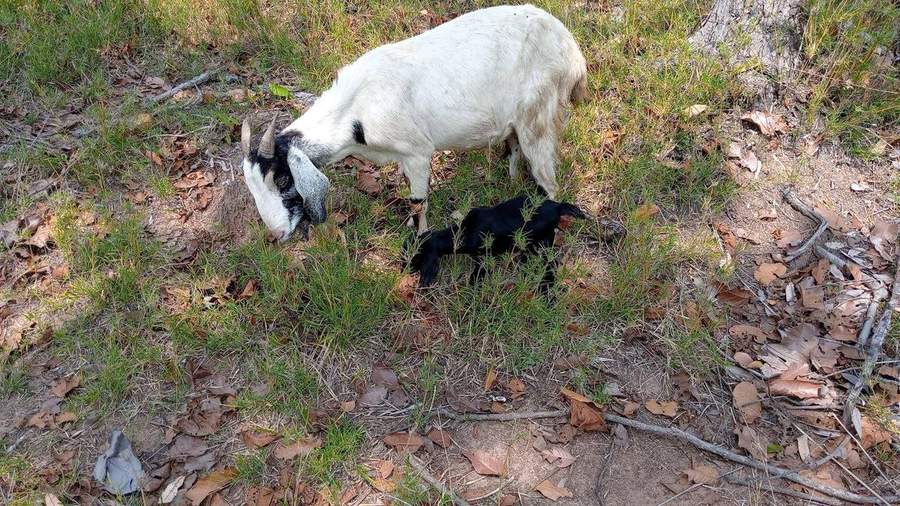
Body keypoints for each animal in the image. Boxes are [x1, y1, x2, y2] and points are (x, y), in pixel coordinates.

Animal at [241, 4, 587, 241]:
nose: (275, 234)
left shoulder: (417, 151)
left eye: (282, 179)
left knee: (549, 182)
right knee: (514, 149)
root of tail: (573, 53)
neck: (355, 108)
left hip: (538, 116)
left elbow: (418, 200)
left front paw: (419, 239)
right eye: (251, 186)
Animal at [409, 195, 587, 288]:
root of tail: (558, 207)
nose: (407, 269)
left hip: (541, 242)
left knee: (550, 264)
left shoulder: (483, 258)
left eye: (417, 256)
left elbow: (477, 276)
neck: (464, 232)